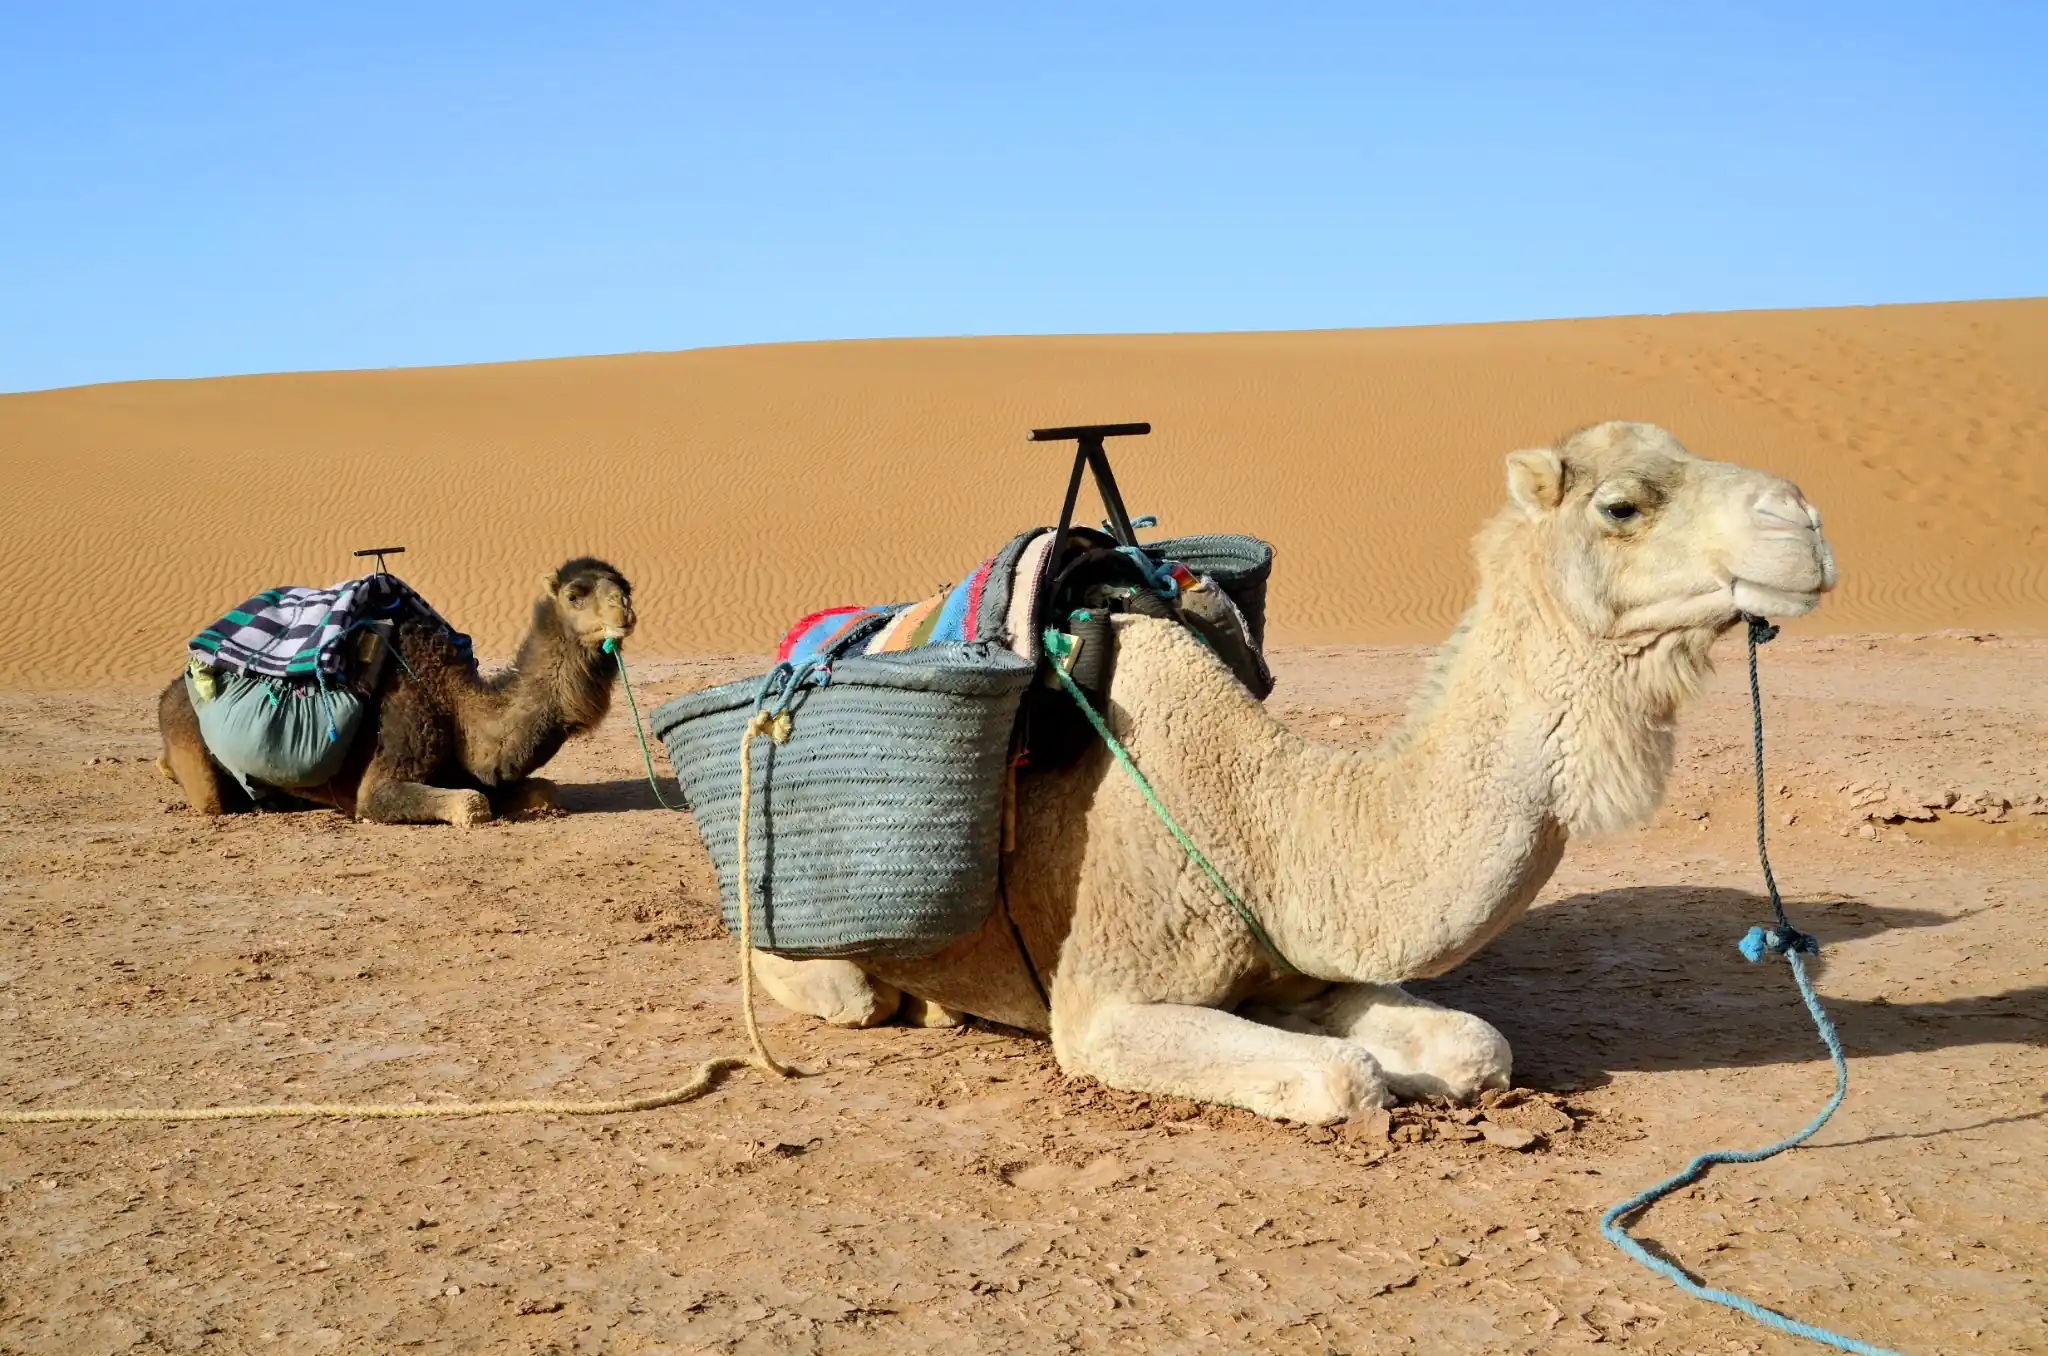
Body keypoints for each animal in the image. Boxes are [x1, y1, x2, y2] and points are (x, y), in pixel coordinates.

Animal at [157, 558, 636, 827]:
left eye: (624, 587)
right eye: (575, 595)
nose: (625, 611)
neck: (455, 706)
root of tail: (168, 693)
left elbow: (544, 791)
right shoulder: (385, 771)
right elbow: (471, 805)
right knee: (209, 795)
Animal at [747, 422, 1838, 1123]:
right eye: (1621, 505)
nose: (1804, 519)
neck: (1266, 819)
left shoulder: (1299, 956)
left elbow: (1471, 1046)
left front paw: (1421, 1067)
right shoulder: (1100, 1003)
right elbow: (1341, 1078)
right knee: (832, 986)